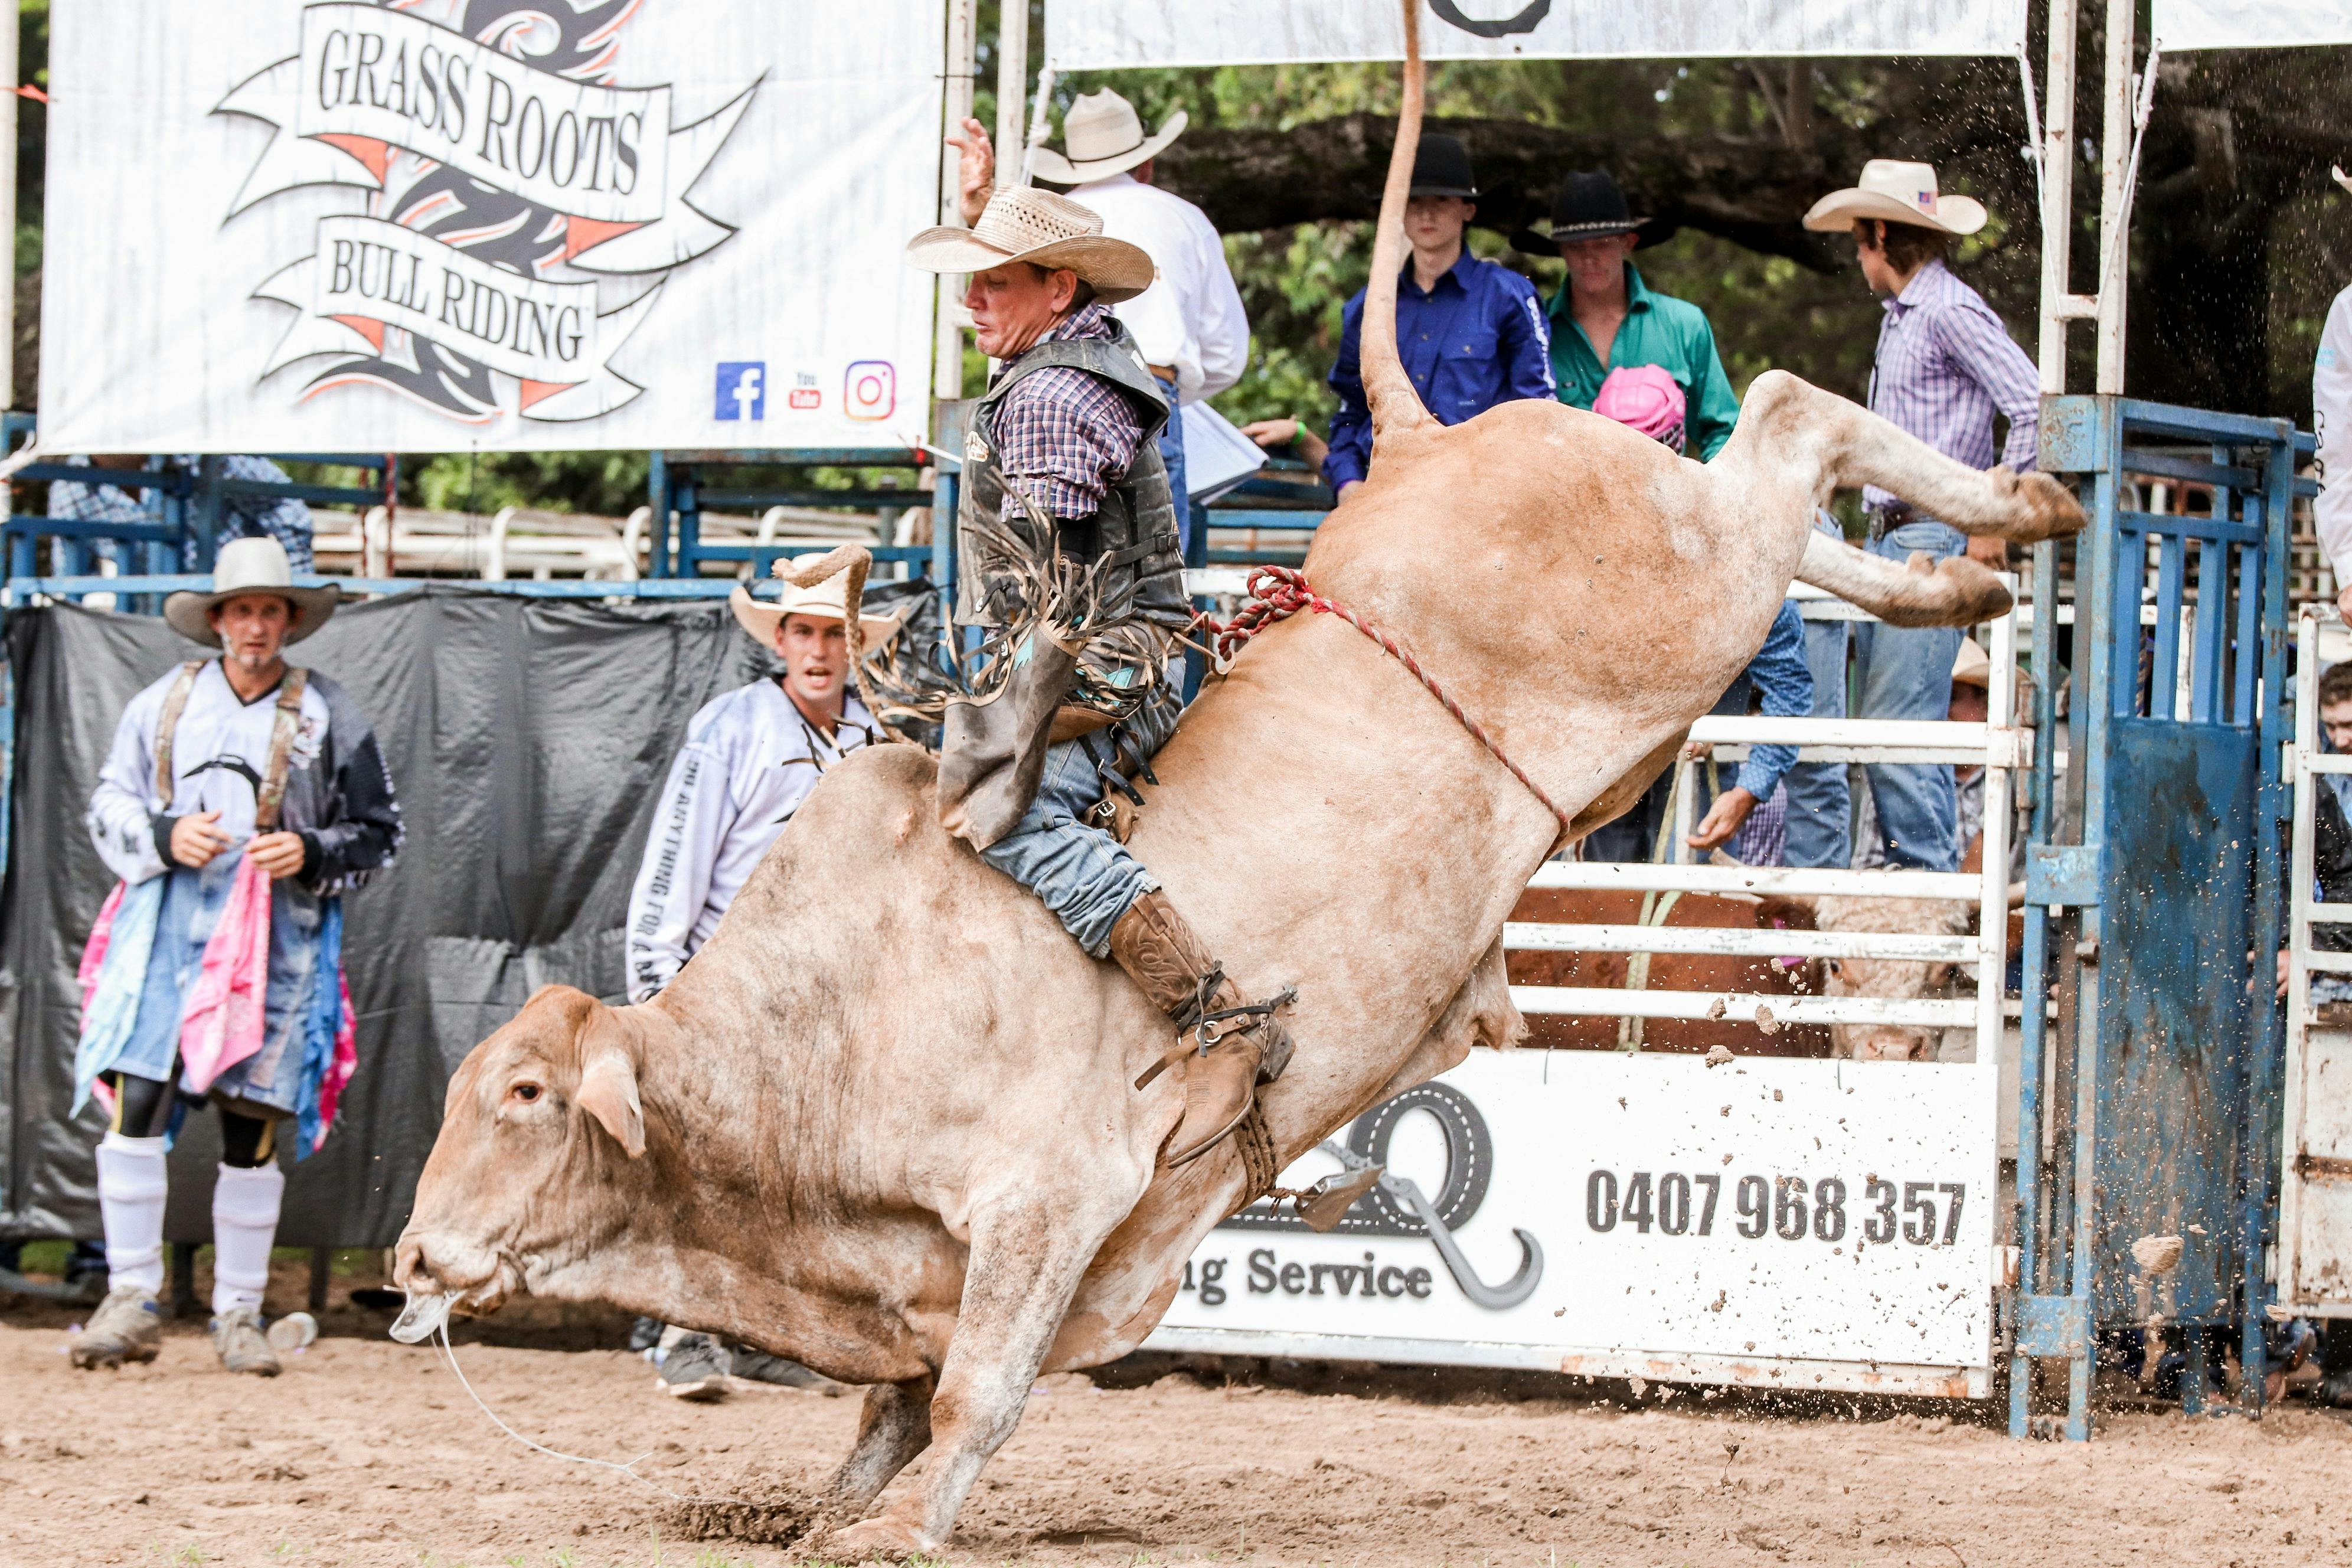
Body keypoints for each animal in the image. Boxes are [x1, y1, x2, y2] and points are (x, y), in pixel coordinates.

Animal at [392, 4, 2083, 1553]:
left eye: (525, 1096)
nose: (409, 1257)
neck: (829, 1027)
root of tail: (1417, 449)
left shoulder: (1047, 1201)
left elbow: (967, 1403)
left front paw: (907, 1527)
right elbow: (885, 1418)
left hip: (1687, 596)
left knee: (1795, 412)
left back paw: (2027, 502)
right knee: (1800, 491)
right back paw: (1968, 575)